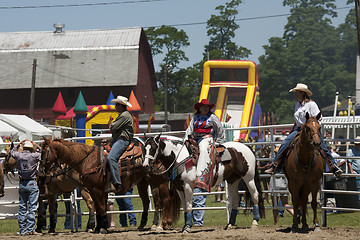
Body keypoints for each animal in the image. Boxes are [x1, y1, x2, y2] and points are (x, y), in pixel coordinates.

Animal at [41, 138, 180, 233]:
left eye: (44, 152)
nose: (41, 169)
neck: (88, 160)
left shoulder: (97, 189)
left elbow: (101, 207)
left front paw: (102, 228)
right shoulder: (93, 189)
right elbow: (98, 207)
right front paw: (98, 227)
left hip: (160, 182)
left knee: (167, 199)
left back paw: (163, 224)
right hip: (144, 183)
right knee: (149, 201)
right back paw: (146, 225)